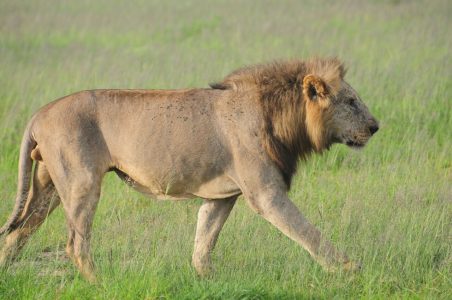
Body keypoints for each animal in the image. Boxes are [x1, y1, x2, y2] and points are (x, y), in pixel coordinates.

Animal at [0, 57, 378, 282]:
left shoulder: (222, 196)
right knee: (76, 245)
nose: (376, 127)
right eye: (351, 102)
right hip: (81, 183)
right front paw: (350, 269)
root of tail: (40, 112)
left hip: (49, 186)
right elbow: (308, 233)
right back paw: (102, 283)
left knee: (17, 235)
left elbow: (204, 239)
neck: (280, 117)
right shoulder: (266, 194)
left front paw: (208, 279)